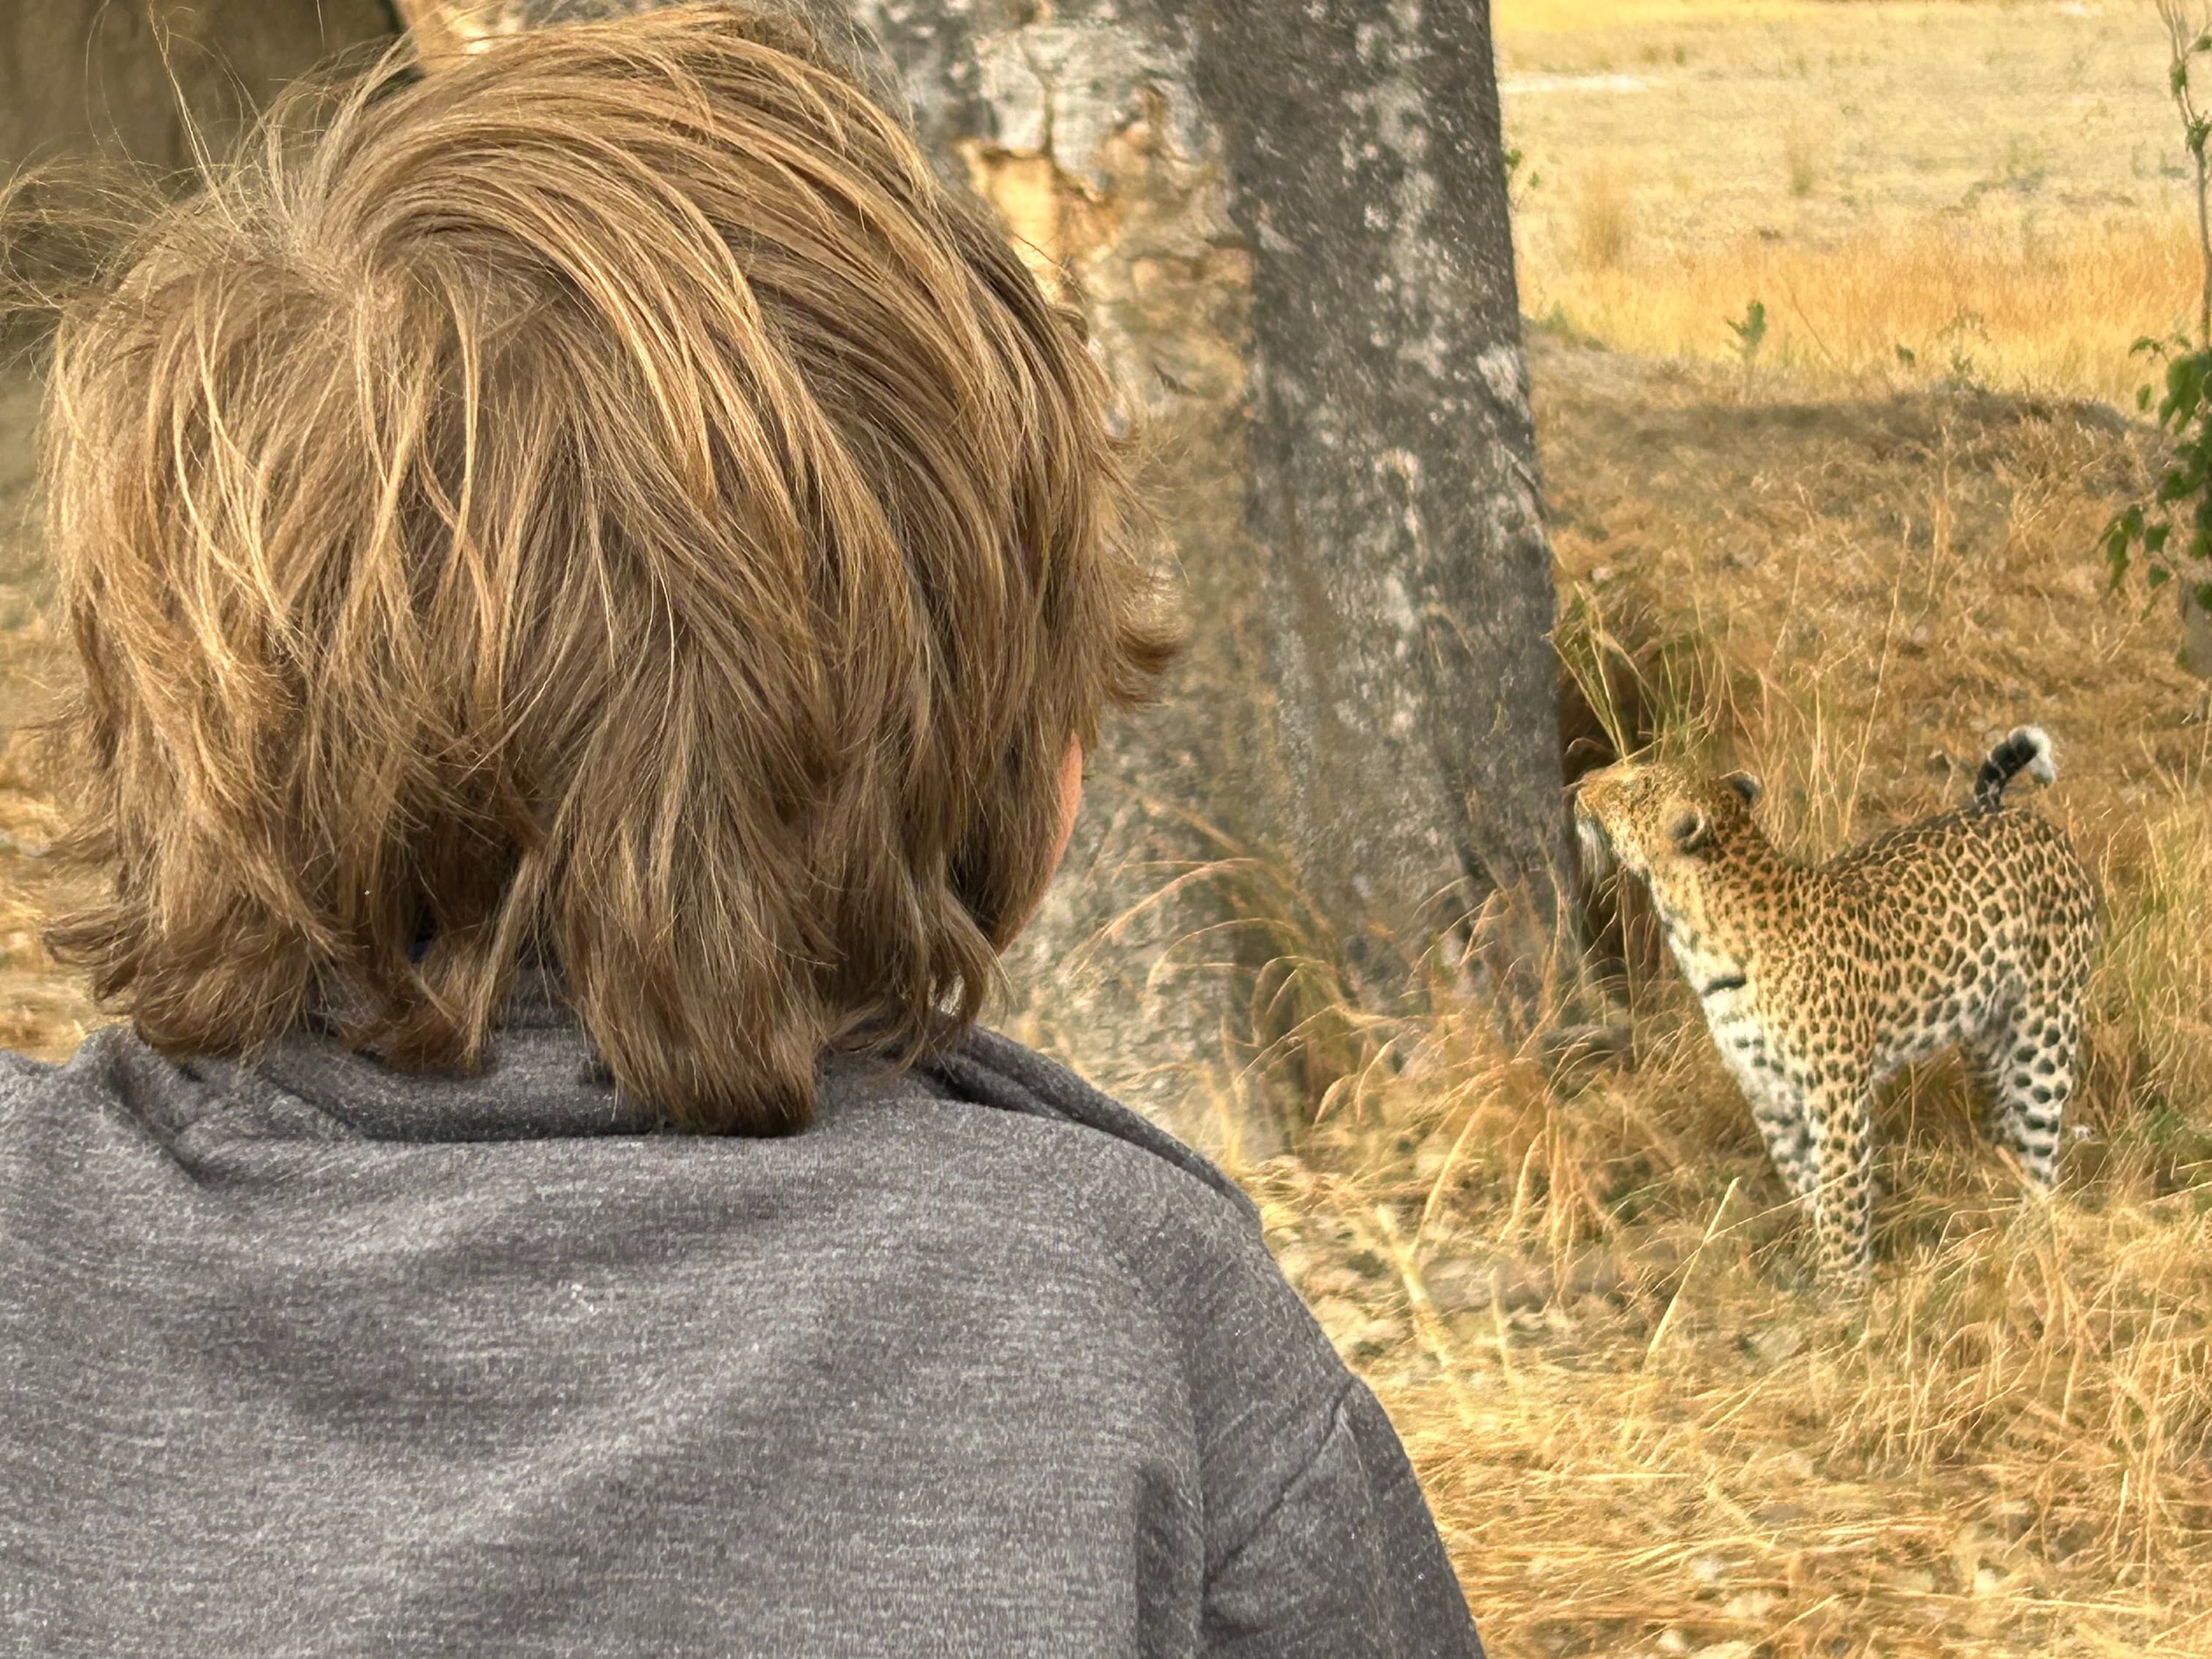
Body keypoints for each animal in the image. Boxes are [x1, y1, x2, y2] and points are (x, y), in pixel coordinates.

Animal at [1572, 727, 2099, 1283]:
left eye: (1635, 787)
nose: (1581, 784)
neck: (1703, 940)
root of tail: (2008, 813)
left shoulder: (1836, 1090)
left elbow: (1842, 1186)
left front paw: (1844, 1285)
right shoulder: (1766, 1090)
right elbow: (1806, 1181)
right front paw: (1818, 1255)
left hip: (2046, 1026)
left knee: (2041, 1135)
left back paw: (2034, 1226)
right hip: (1984, 1033)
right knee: (2003, 1112)